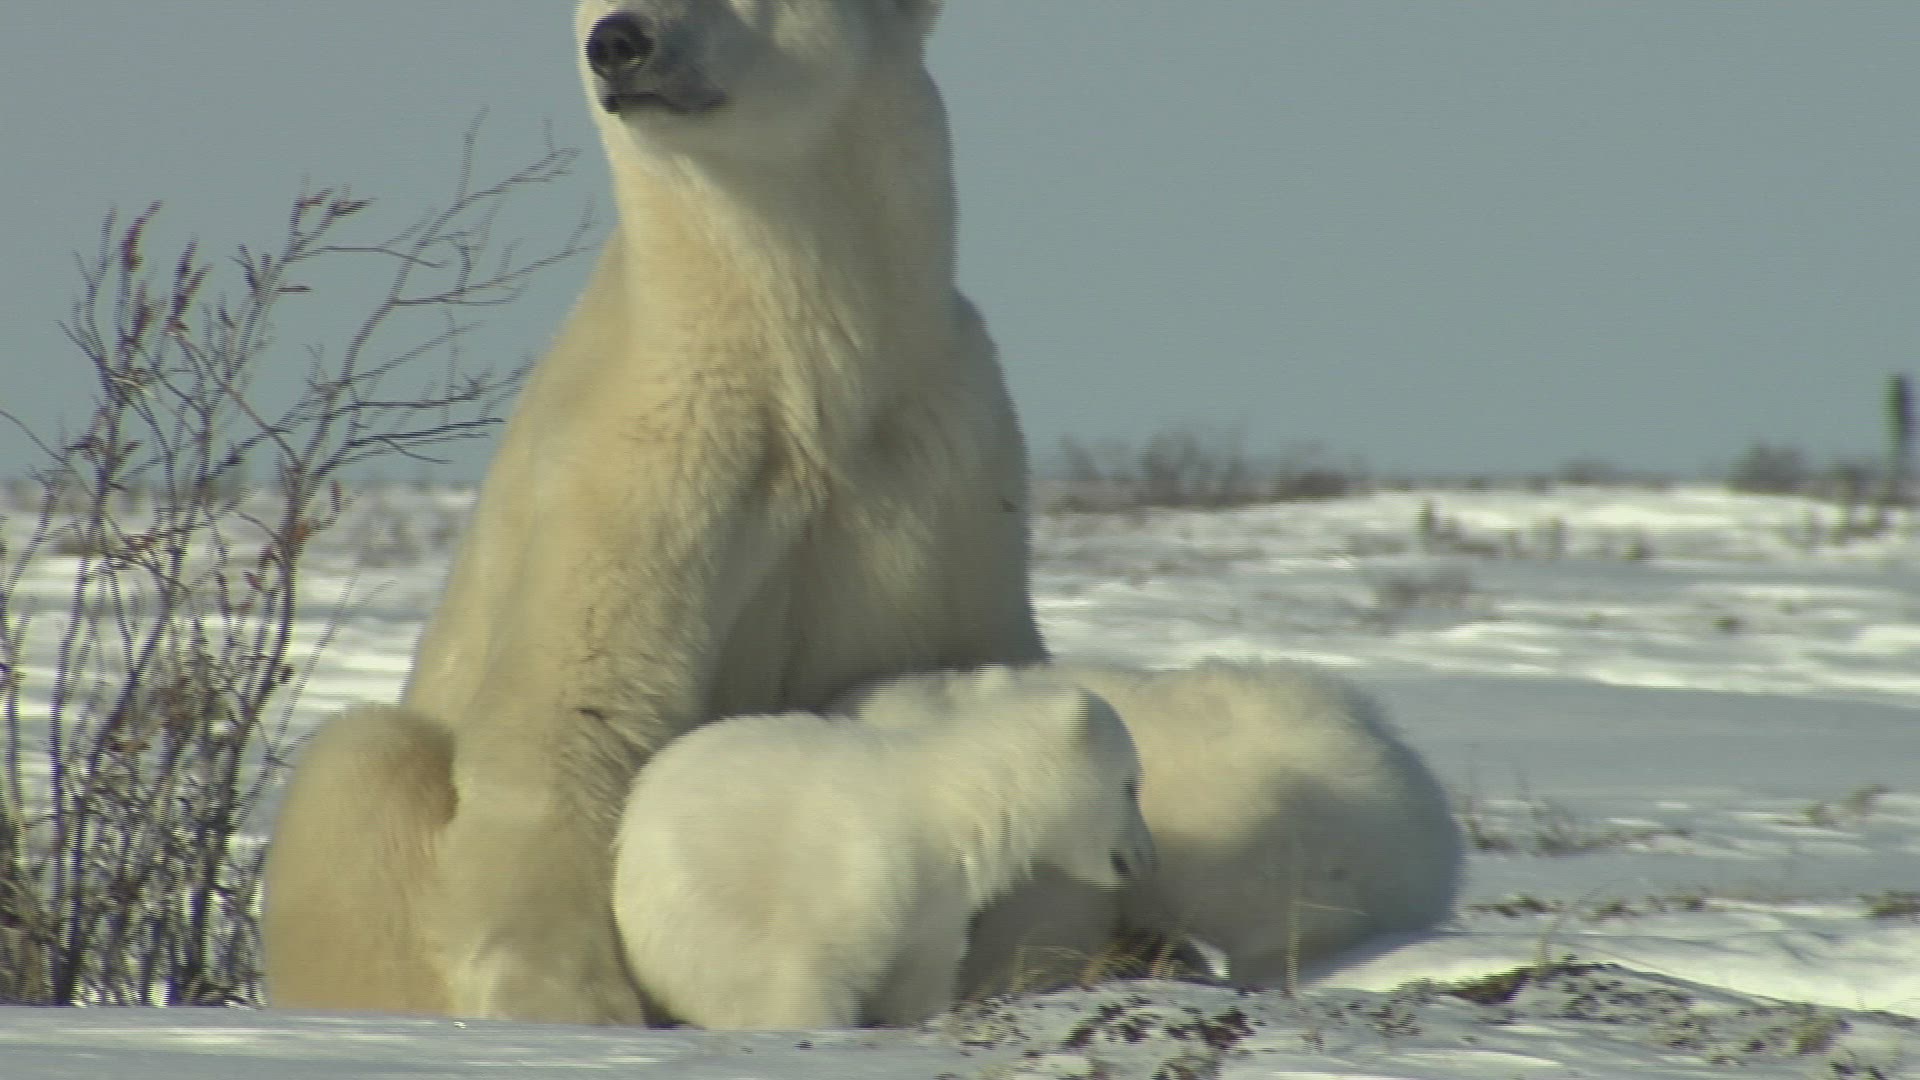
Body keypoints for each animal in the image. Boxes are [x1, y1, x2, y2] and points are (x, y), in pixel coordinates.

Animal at [263, 0, 1044, 1024]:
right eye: (595, 5)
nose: (619, 43)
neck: (803, 369)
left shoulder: (943, 469)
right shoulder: (636, 465)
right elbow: (574, 715)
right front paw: (580, 1008)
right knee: (360, 758)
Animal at [610, 666, 1155, 1030]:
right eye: (1131, 784)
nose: (1144, 858)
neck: (945, 806)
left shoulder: (934, 908)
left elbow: (917, 981)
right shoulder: (862, 865)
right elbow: (811, 970)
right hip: (697, 899)